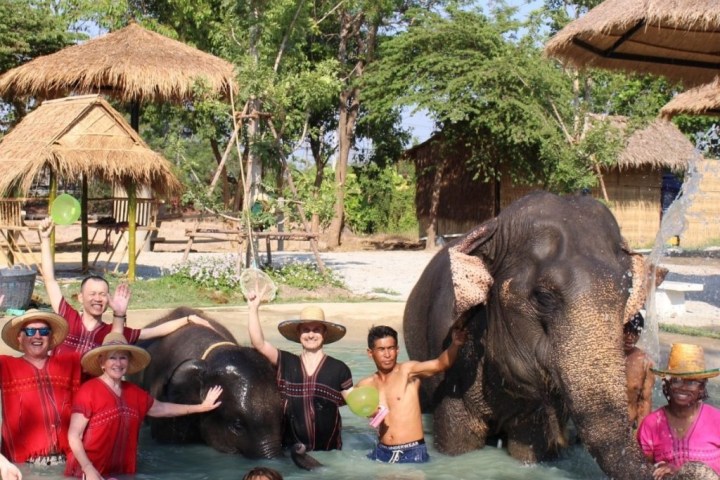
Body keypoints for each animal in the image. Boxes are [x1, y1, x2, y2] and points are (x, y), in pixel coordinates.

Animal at [403, 191, 664, 479]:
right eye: (543, 296)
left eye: (627, 292)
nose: (662, 468)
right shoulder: (452, 373)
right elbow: (457, 443)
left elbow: (529, 447)